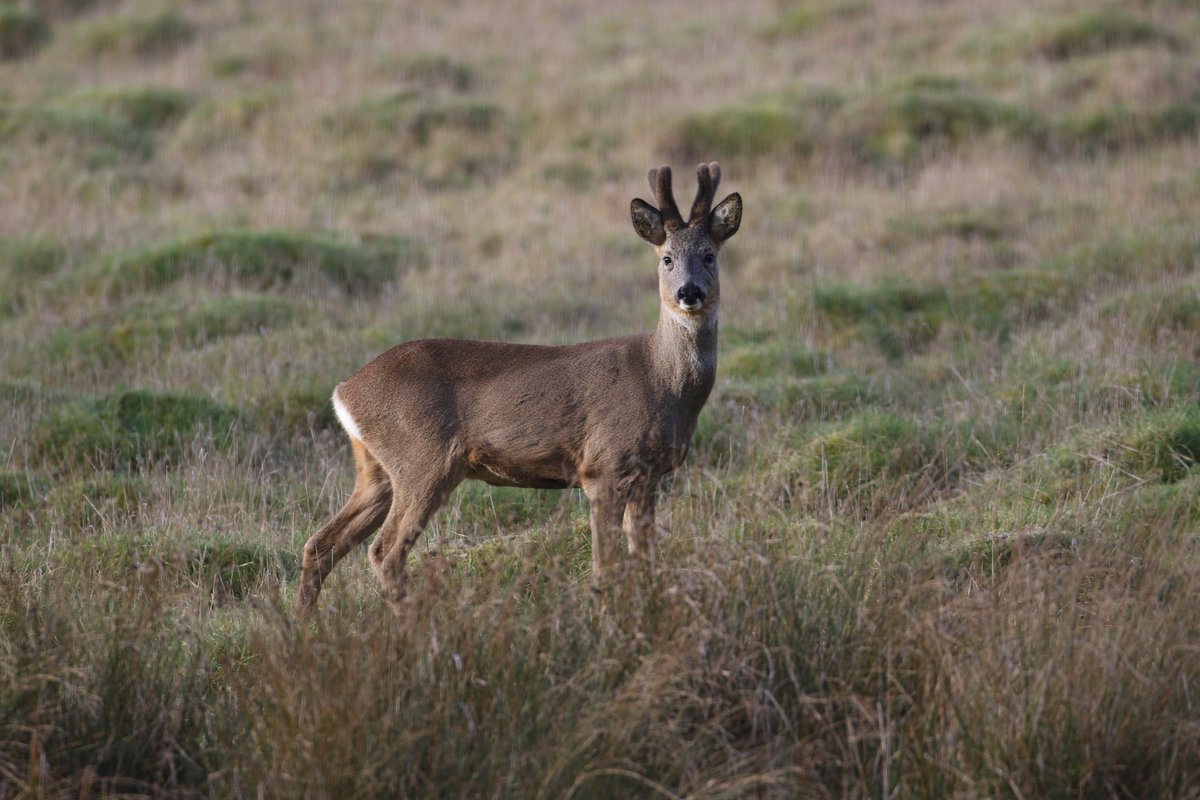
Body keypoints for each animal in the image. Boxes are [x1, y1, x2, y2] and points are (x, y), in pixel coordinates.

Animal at [295, 160, 739, 614]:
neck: (660, 381)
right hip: (422, 459)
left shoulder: (650, 475)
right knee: (384, 551)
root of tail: (343, 392)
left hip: (375, 469)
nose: (689, 292)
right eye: (667, 258)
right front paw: (604, 619)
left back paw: (305, 625)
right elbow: (606, 568)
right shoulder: (604, 465)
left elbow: (646, 559)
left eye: (709, 255)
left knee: (321, 544)